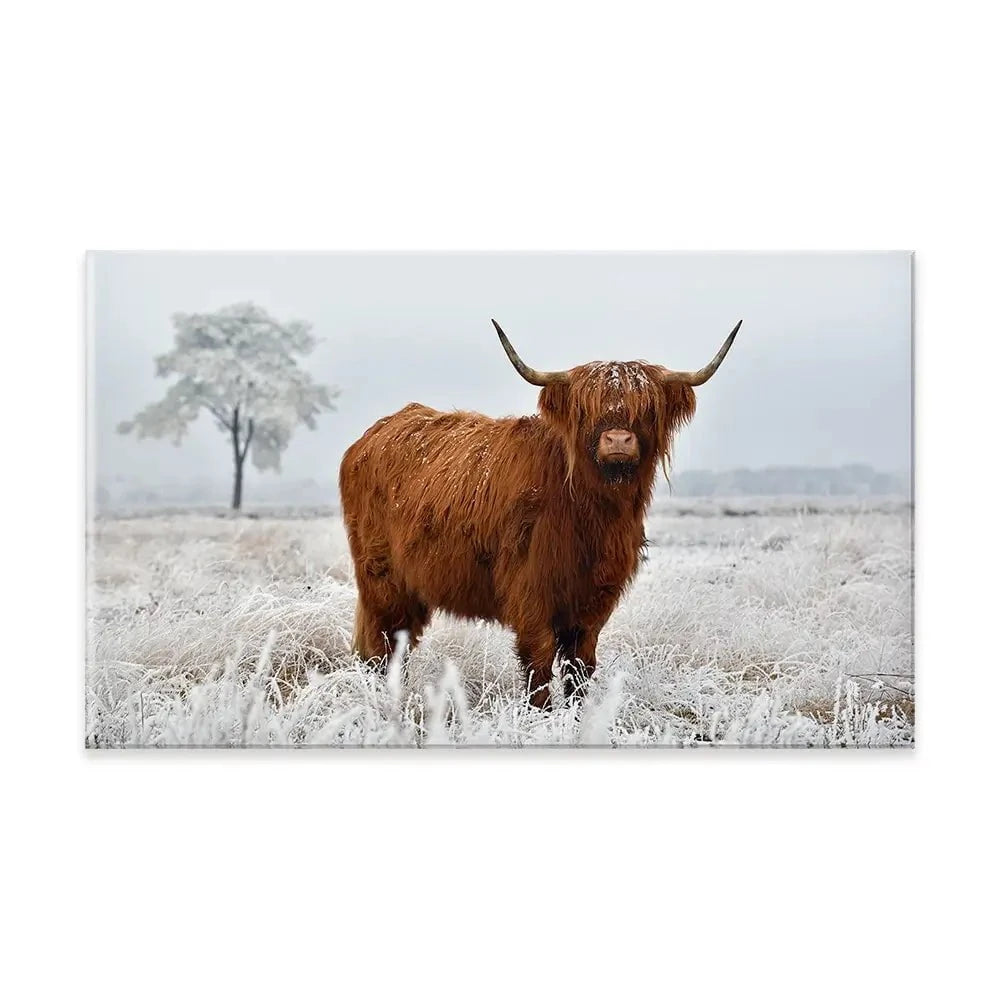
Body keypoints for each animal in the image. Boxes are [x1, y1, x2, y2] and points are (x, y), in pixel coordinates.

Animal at [339, 319, 741, 709]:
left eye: (646, 409)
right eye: (585, 409)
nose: (618, 440)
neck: (592, 514)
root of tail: (373, 434)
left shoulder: (594, 600)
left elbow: (581, 665)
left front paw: (578, 714)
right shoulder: (530, 590)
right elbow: (539, 660)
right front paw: (542, 714)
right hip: (382, 580)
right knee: (383, 645)